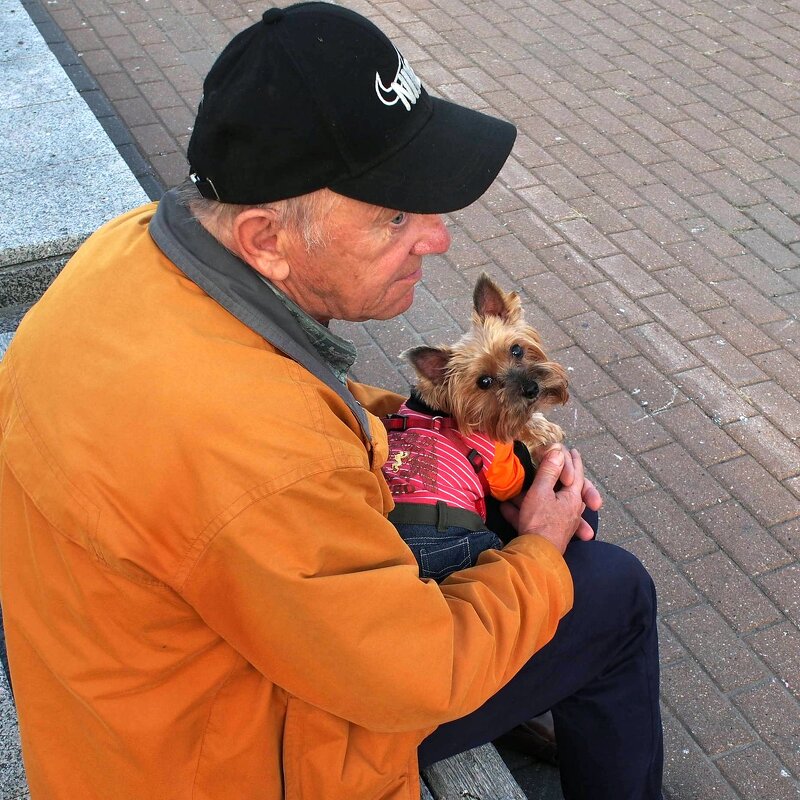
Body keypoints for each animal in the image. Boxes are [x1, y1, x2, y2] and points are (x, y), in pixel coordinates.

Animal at [382, 276, 568, 580]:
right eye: (484, 382)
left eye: (516, 349)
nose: (531, 389)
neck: (445, 412)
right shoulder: (503, 470)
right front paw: (538, 432)